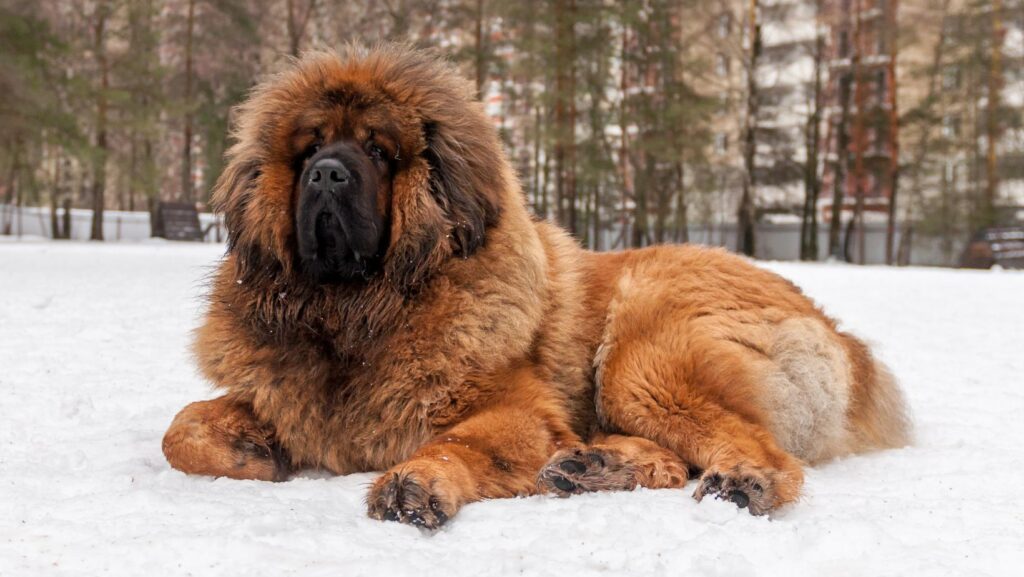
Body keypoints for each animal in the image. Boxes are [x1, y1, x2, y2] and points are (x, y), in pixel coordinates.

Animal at [163, 46, 909, 528]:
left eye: (377, 151)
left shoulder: (517, 412)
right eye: (310, 149)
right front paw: (252, 449)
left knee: (761, 451)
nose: (326, 173)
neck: (358, 314)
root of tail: (843, 337)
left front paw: (415, 481)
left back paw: (739, 480)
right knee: (673, 460)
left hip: (644, 358)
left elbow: (455, 443)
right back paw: (596, 465)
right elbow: (180, 429)